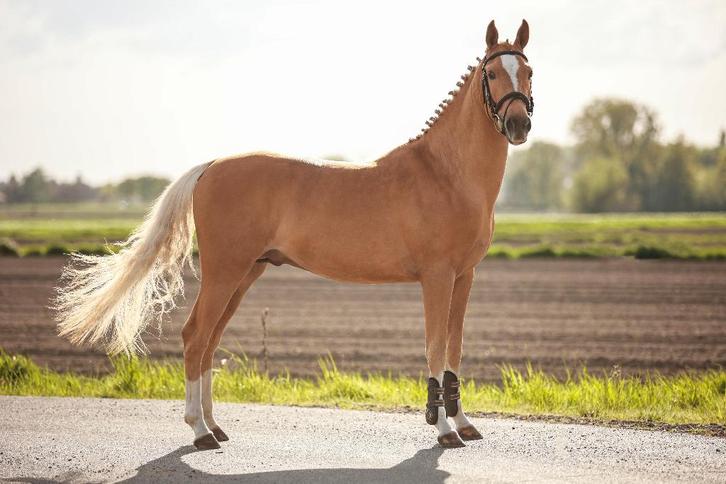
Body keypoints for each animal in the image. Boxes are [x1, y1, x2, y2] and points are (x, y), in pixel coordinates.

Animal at [54, 19, 533, 450]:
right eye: (492, 73)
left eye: (528, 71)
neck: (445, 174)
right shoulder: (436, 278)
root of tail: (211, 166)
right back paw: (200, 431)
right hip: (225, 273)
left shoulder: (463, 277)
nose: (518, 125)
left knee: (210, 341)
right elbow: (435, 348)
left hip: (245, 275)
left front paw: (464, 423)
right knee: (194, 336)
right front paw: (445, 431)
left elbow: (454, 349)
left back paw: (215, 426)